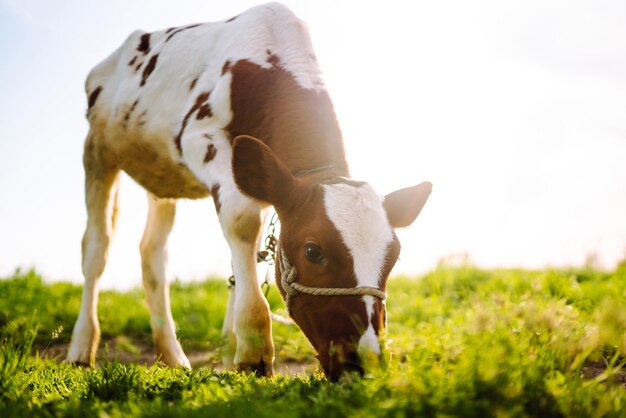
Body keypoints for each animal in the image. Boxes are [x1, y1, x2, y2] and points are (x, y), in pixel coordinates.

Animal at [67, 1, 428, 380]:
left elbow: (247, 253)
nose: (367, 362)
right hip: (97, 149)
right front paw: (254, 350)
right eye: (313, 251)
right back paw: (81, 349)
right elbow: (242, 224)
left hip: (159, 177)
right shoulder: (201, 141)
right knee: (96, 248)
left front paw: (230, 353)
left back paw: (172, 355)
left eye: (394, 255)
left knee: (153, 253)